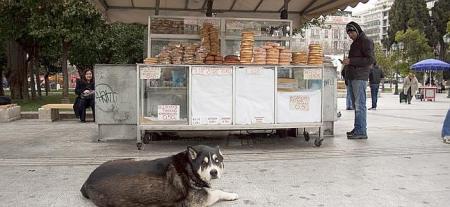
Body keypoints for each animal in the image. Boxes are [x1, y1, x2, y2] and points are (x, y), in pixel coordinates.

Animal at [80, 146, 239, 207]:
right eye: (204, 163)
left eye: (217, 161)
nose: (214, 172)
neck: (188, 166)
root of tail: (88, 180)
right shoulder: (197, 200)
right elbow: (216, 192)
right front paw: (231, 194)